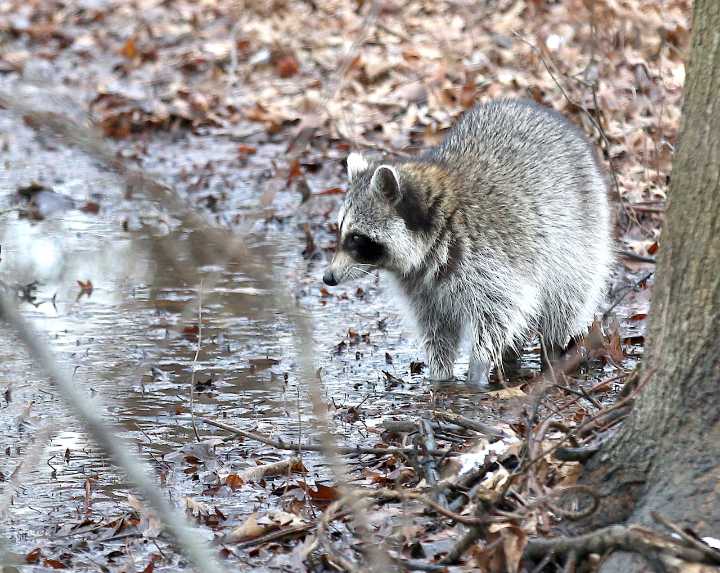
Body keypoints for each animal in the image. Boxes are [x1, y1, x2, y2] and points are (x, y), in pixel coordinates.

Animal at [323, 99, 613, 385]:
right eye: (340, 231)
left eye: (357, 237)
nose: (328, 277)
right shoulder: (420, 287)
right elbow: (437, 330)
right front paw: (440, 377)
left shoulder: (486, 259)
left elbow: (500, 313)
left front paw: (477, 371)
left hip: (580, 238)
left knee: (565, 301)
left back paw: (551, 353)